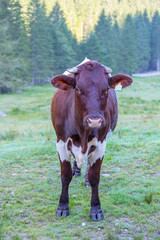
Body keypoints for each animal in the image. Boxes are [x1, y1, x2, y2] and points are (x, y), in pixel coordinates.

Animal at [50, 58, 132, 221]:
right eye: (77, 89)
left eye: (106, 89)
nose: (94, 120)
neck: (82, 133)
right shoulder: (61, 143)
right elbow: (65, 176)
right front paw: (63, 206)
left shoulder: (100, 145)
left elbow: (95, 177)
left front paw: (95, 208)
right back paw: (76, 170)